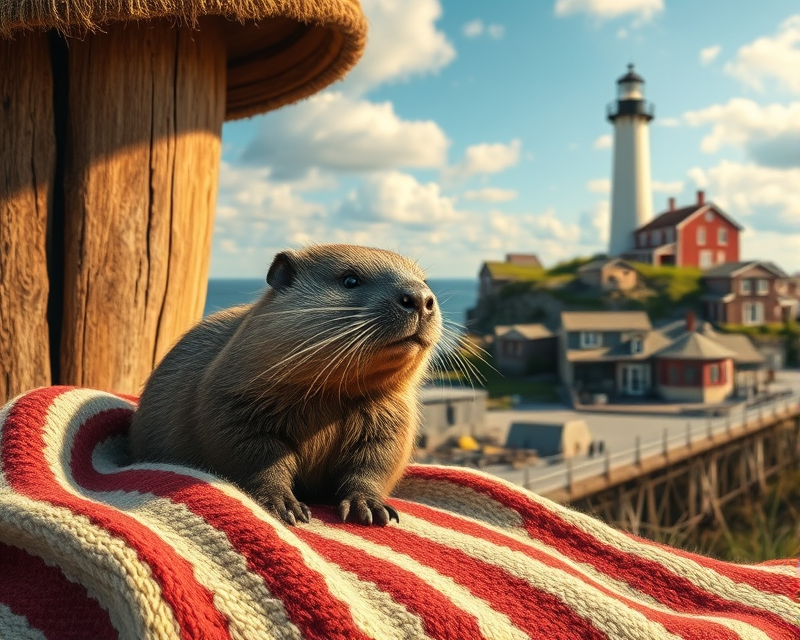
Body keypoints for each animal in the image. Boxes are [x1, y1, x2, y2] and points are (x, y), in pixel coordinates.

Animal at [131, 244, 444, 524]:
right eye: (350, 279)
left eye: (425, 281)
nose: (420, 298)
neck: (330, 397)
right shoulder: (234, 410)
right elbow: (258, 459)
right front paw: (284, 506)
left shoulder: (390, 419)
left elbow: (374, 464)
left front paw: (369, 507)